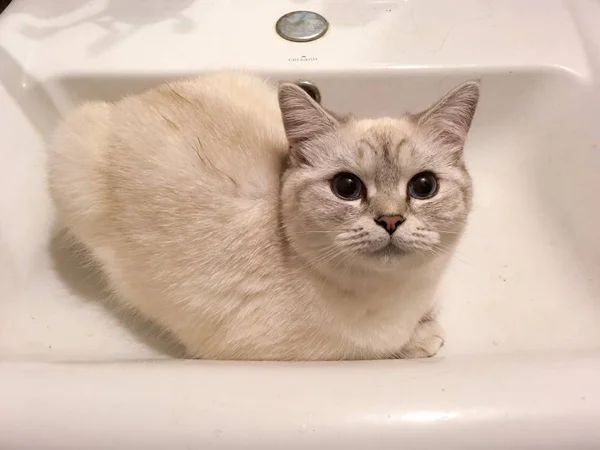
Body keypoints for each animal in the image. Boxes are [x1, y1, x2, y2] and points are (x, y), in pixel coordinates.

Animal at [47, 74, 480, 362]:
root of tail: (132, 101)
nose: (390, 220)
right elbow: (387, 348)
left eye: (423, 186)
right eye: (346, 187)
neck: (400, 293)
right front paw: (423, 339)